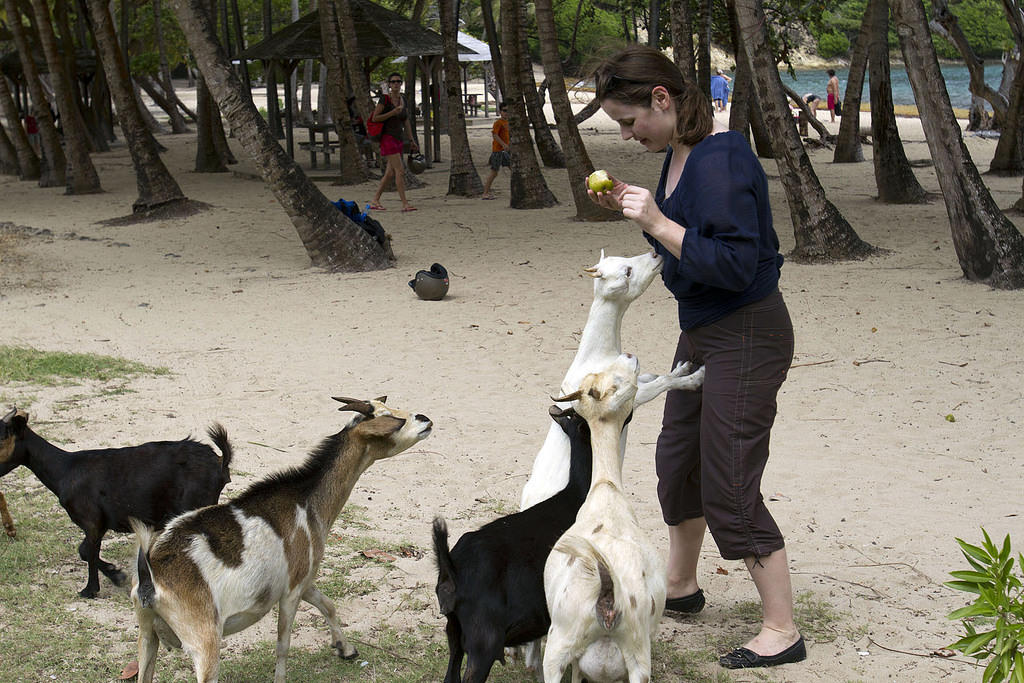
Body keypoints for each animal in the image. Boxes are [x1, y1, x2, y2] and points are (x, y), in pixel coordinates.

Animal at [1, 409, 233, 593]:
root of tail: (220, 463)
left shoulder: (92, 520)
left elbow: (88, 551)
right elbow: (84, 550)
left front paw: (90, 590)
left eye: (2, 438)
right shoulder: (100, 523)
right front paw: (116, 574)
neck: (65, 470)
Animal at [129, 395, 432, 683]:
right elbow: (283, 644)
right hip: (204, 641)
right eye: (391, 417)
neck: (307, 499)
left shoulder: (302, 578)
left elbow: (327, 604)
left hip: (147, 633)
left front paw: (346, 649)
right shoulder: (291, 590)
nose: (425, 419)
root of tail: (150, 579)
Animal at [540, 358, 667, 683]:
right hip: (635, 653)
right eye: (619, 379)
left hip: (570, 646)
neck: (606, 488)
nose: (632, 356)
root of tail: (609, 595)